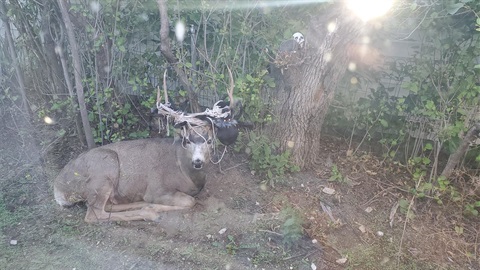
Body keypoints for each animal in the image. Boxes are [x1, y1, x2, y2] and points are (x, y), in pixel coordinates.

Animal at [54, 69, 238, 221]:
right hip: (104, 169)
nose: (198, 161)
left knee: (108, 205)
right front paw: (156, 207)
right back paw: (149, 212)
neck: (185, 171)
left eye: (209, 140)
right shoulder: (157, 189)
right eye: (187, 140)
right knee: (94, 214)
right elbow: (189, 201)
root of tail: (58, 188)